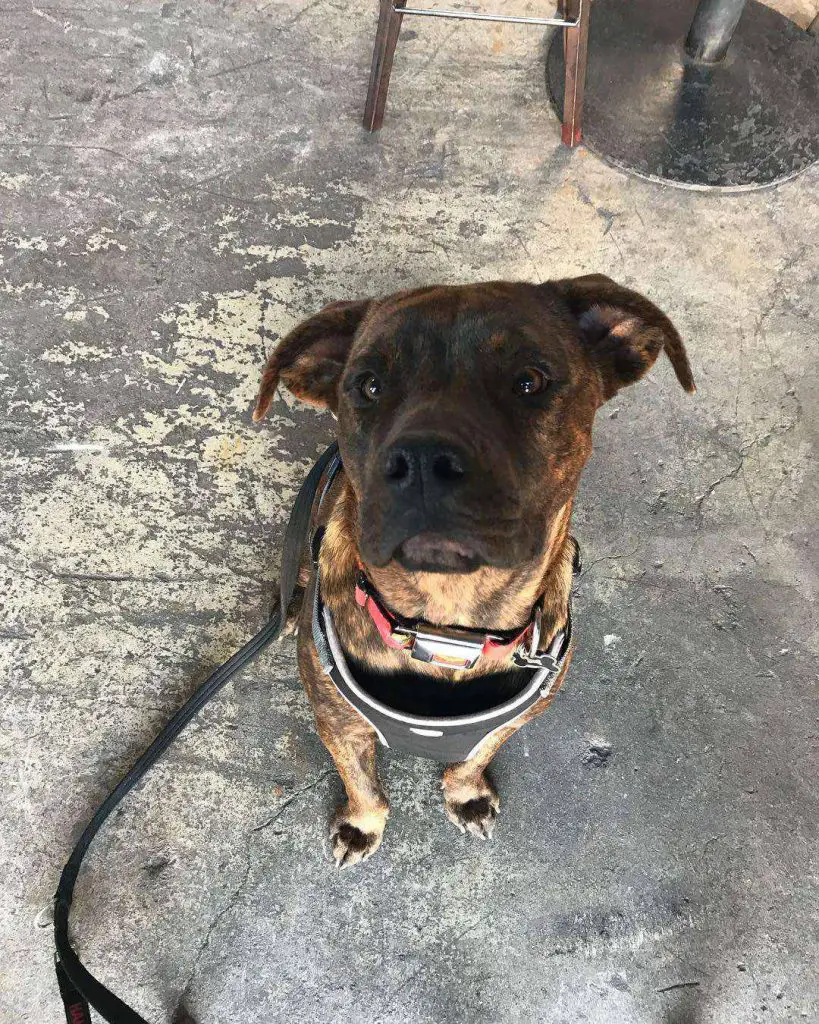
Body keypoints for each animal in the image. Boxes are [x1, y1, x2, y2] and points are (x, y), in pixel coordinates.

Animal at [253, 276, 692, 868]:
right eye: (368, 385)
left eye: (529, 381)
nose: (420, 461)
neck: (445, 626)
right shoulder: (338, 724)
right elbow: (361, 782)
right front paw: (362, 824)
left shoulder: (507, 723)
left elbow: (474, 757)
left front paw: (466, 795)